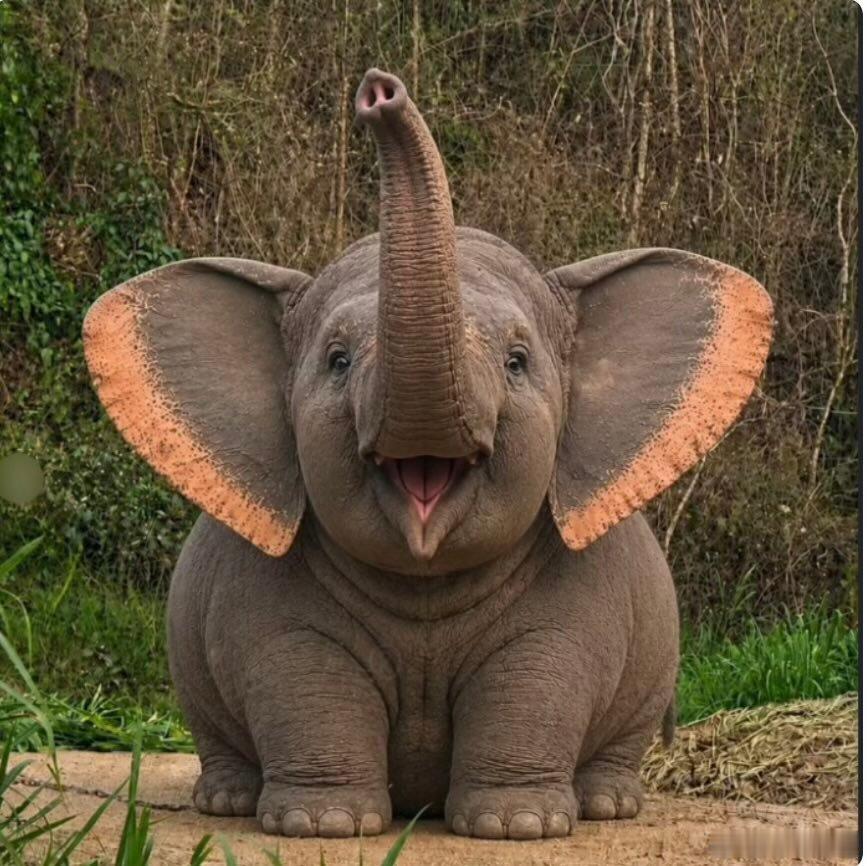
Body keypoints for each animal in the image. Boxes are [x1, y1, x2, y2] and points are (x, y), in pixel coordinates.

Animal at [82, 69, 773, 841]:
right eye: (337, 360)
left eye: (517, 361)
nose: (379, 92)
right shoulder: (267, 608)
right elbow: (298, 669)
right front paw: (323, 825)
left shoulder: (572, 608)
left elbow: (540, 670)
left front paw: (518, 826)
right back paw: (227, 801)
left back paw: (607, 804)